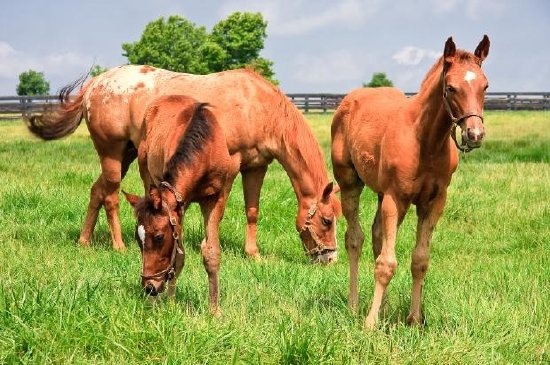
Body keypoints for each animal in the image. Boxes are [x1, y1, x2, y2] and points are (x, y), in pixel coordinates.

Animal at [30, 67, 342, 264]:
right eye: (327, 220)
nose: (330, 258)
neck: (256, 105)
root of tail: (96, 83)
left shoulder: (256, 166)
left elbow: (252, 211)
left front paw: (253, 254)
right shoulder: (232, 168)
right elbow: (218, 213)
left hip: (127, 155)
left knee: (97, 191)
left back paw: (84, 241)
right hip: (112, 154)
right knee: (110, 197)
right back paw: (118, 246)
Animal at [332, 35, 492, 328]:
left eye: (485, 86)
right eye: (451, 88)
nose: (474, 135)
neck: (425, 141)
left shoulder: (434, 202)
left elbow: (419, 260)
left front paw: (414, 319)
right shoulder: (396, 198)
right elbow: (386, 263)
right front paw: (370, 324)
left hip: (383, 194)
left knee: (377, 236)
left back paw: (384, 309)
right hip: (350, 181)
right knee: (354, 238)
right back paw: (354, 305)